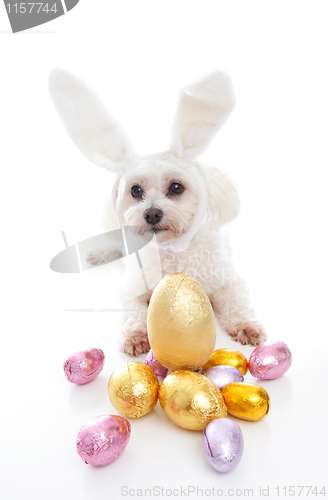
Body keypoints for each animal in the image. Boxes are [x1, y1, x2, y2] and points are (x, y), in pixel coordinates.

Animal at [48, 68, 266, 356]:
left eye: (176, 187)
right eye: (135, 190)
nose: (151, 213)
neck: (172, 251)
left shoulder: (227, 281)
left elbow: (236, 302)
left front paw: (246, 325)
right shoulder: (132, 289)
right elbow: (135, 311)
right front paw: (136, 335)